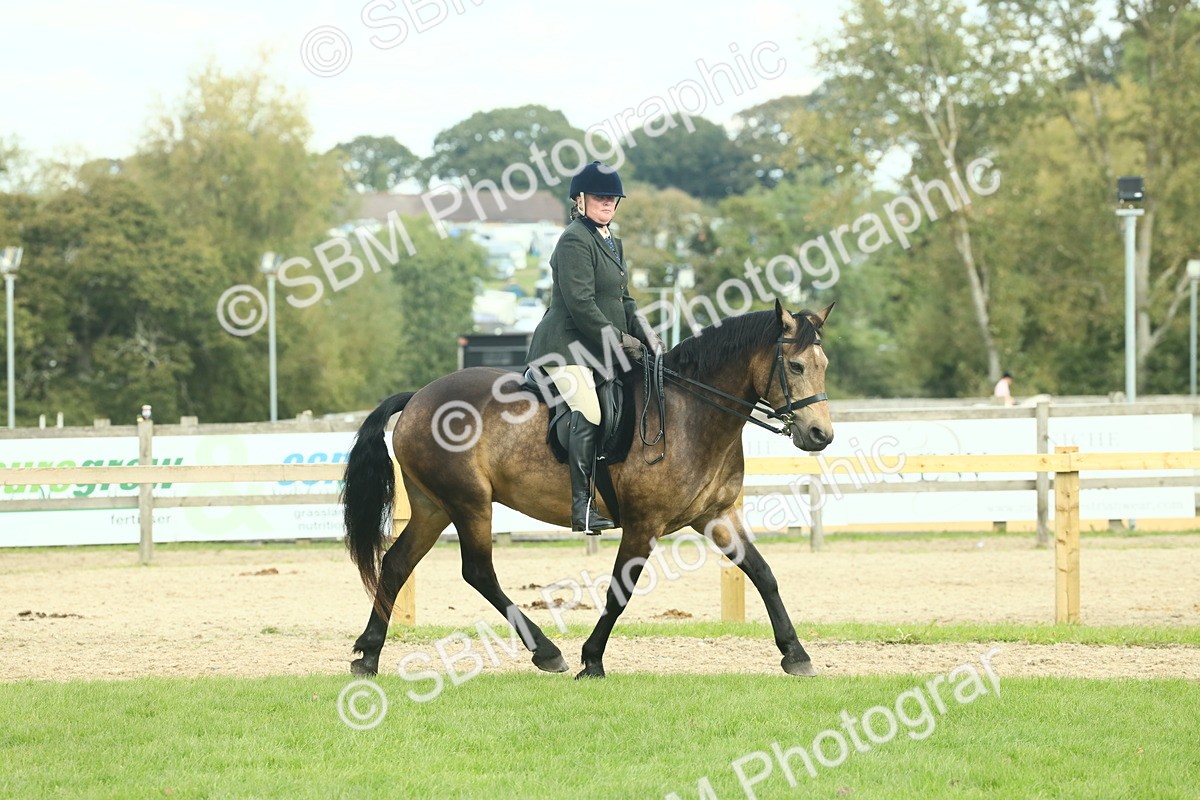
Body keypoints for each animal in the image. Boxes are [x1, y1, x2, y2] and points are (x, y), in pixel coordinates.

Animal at [342, 300, 833, 679]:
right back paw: (547, 652)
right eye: (795, 366)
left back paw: (368, 655)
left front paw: (796, 654)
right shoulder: (643, 524)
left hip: (433, 506)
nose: (820, 435)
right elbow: (621, 590)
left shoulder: (717, 515)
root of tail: (418, 397)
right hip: (469, 503)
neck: (691, 413)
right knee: (478, 571)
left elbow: (763, 574)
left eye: (824, 366)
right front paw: (592, 660)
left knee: (397, 563)